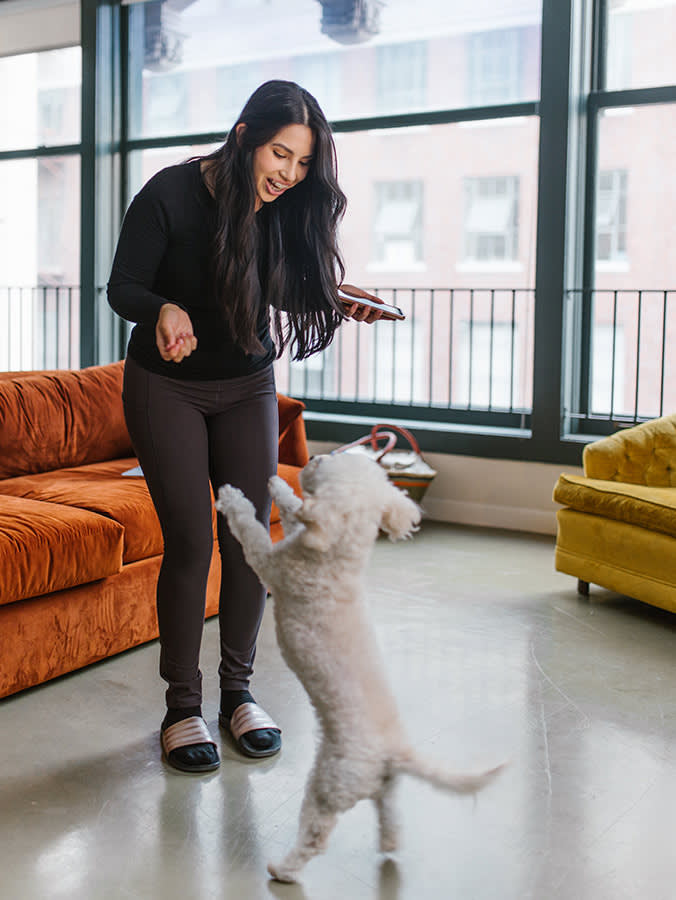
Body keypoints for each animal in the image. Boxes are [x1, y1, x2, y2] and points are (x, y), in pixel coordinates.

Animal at [217, 454, 502, 884]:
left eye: (327, 465)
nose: (314, 457)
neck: (337, 556)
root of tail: (395, 753)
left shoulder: (271, 564)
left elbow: (251, 530)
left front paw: (234, 498)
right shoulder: (307, 535)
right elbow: (296, 513)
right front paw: (280, 488)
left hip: (328, 785)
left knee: (316, 836)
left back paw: (284, 868)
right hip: (384, 787)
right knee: (391, 817)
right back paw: (389, 844)